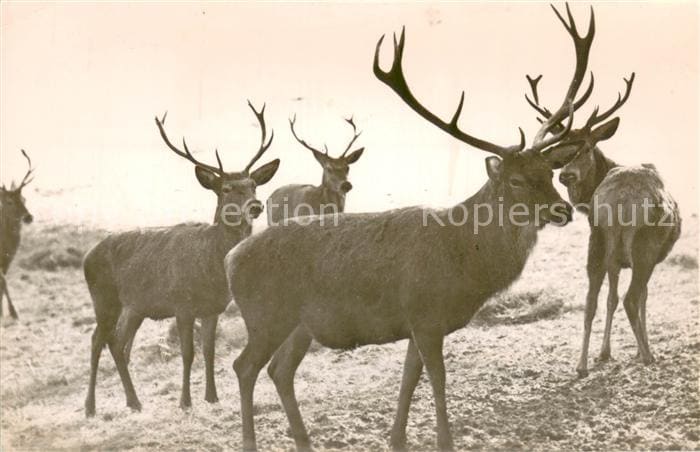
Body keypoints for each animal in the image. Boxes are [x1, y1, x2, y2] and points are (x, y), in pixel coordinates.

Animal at [82, 101, 279, 417]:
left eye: (253, 184)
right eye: (226, 189)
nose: (256, 206)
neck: (211, 266)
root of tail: (87, 256)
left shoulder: (213, 309)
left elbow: (209, 351)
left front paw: (212, 397)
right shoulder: (181, 305)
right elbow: (188, 354)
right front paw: (185, 401)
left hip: (135, 307)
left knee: (118, 343)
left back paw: (134, 401)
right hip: (103, 298)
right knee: (96, 340)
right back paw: (91, 407)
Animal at [224, 5, 595, 450]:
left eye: (549, 172)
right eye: (517, 180)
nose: (563, 210)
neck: (466, 260)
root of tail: (230, 258)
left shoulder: (417, 322)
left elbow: (408, 379)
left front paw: (397, 438)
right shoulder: (426, 314)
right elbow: (437, 380)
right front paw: (444, 440)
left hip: (298, 324)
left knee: (279, 369)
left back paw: (304, 441)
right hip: (266, 314)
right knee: (244, 366)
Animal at [525, 69, 681, 378]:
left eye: (584, 148)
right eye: (559, 148)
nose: (565, 175)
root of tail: (620, 198)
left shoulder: (613, 257)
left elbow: (609, 298)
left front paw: (604, 353)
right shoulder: (641, 258)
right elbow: (640, 298)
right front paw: (634, 349)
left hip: (597, 240)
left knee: (590, 301)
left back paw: (581, 365)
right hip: (644, 246)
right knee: (632, 298)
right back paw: (648, 357)